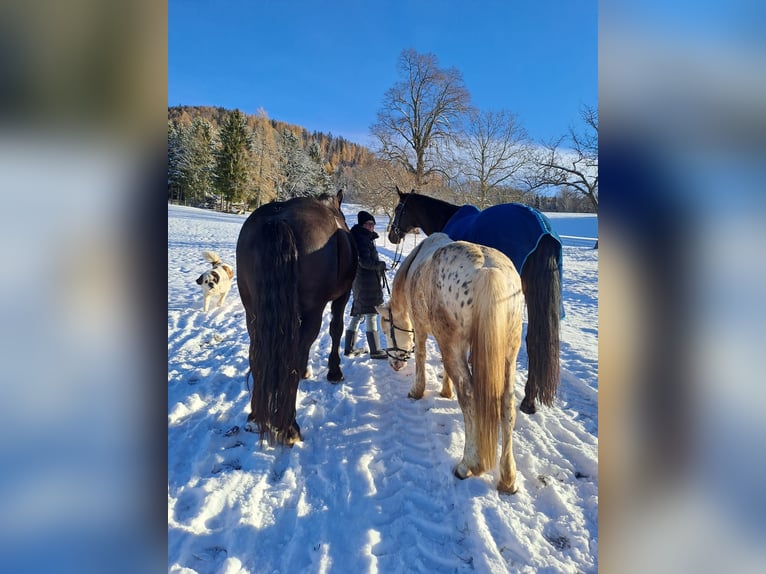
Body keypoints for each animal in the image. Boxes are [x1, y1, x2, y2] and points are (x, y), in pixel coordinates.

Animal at [237, 191, 360, 448]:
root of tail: (278, 220)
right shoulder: (341, 296)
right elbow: (336, 329)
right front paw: (334, 371)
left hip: (252, 312)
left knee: (256, 355)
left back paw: (255, 416)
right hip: (313, 309)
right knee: (291, 356)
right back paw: (289, 427)